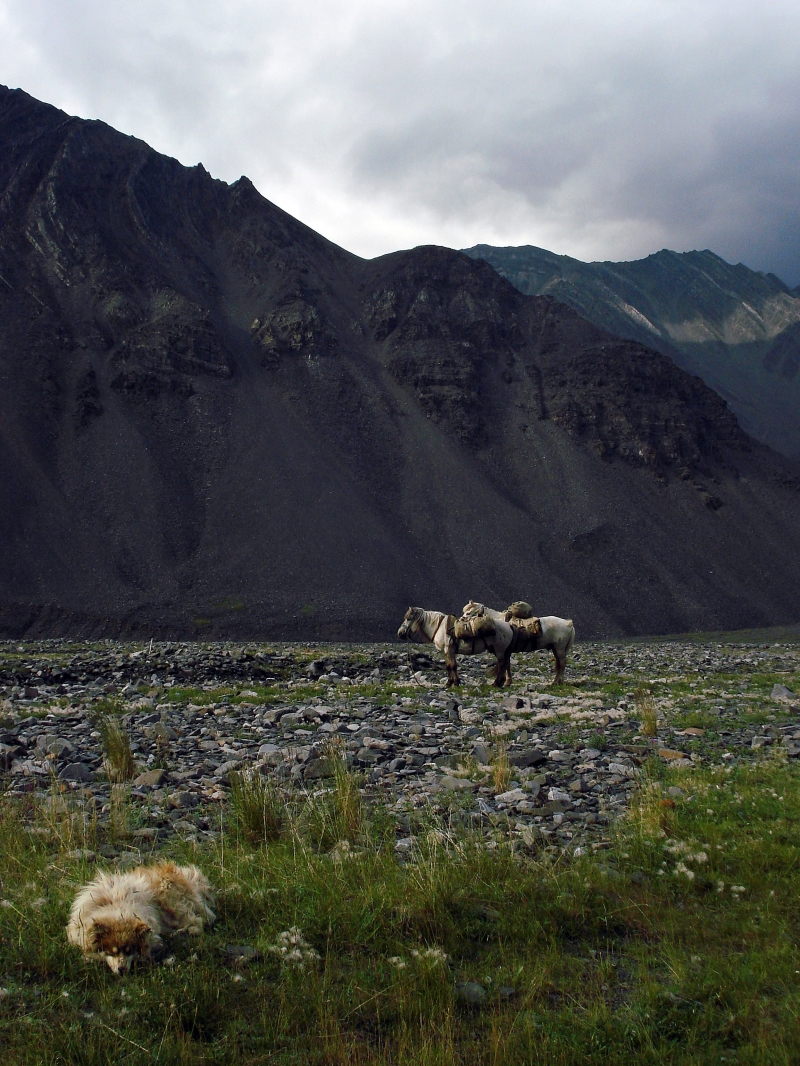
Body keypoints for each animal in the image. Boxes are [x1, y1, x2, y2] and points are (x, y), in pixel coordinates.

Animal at [66, 861, 216, 972]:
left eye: (129, 950)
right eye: (112, 951)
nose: (122, 969)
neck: (116, 904)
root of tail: (196, 881)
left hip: (169, 895)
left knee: (199, 921)